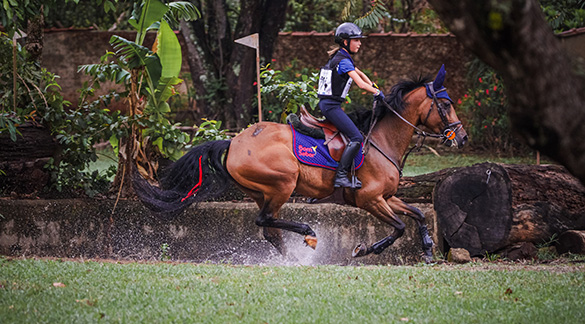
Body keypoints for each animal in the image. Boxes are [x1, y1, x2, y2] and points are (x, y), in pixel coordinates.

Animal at [135, 65, 468, 264]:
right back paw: (308, 234)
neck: (381, 141)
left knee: (270, 228)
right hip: (283, 182)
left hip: (263, 191)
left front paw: (428, 249)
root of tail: (233, 143)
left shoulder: (387, 197)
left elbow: (417, 215)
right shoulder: (369, 199)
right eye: (446, 104)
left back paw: (291, 259)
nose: (462, 137)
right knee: (265, 221)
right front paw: (365, 249)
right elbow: (399, 227)